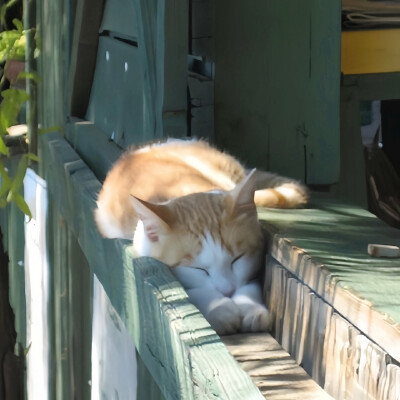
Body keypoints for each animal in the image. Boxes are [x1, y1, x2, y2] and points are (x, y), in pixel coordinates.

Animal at [95, 139, 308, 336]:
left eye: (237, 260)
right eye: (198, 269)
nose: (228, 292)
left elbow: (251, 283)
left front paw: (251, 308)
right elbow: (184, 293)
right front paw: (219, 309)